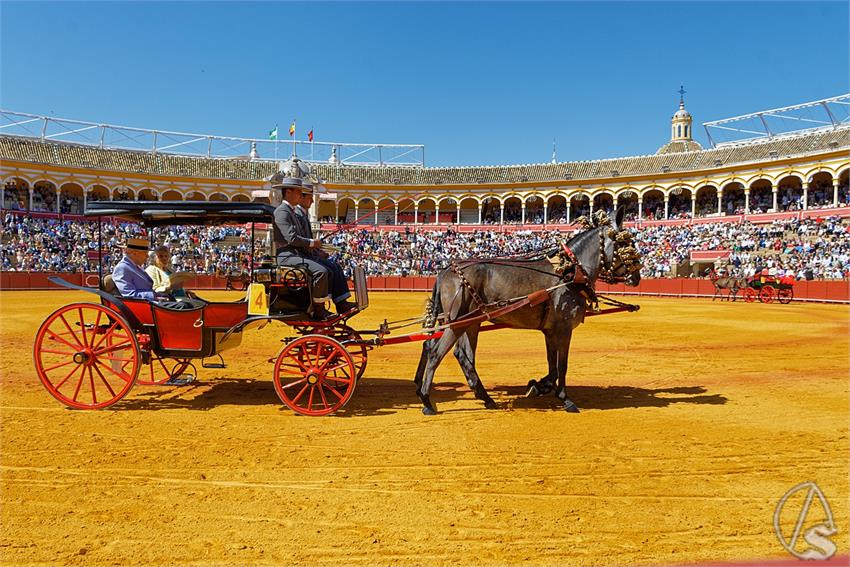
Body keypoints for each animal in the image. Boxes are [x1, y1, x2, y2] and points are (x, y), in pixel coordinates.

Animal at [414, 206, 640, 414]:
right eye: (626, 243)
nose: (637, 277)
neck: (570, 271)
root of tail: (445, 270)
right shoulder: (564, 328)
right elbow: (562, 365)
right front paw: (565, 398)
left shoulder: (550, 330)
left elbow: (552, 366)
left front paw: (538, 386)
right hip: (457, 323)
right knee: (436, 353)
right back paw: (426, 401)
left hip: (470, 322)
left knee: (463, 355)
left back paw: (485, 398)